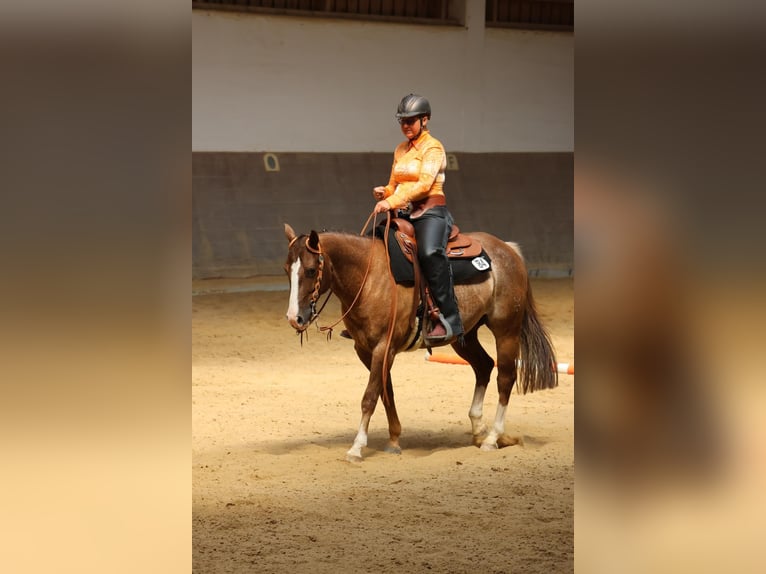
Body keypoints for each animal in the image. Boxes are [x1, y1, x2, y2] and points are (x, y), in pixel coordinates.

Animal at [282, 220, 560, 464]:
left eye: (310, 270)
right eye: (286, 270)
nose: (295, 318)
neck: (369, 275)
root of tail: (508, 250)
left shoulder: (383, 348)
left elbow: (370, 397)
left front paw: (357, 448)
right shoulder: (366, 350)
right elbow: (386, 392)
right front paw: (394, 440)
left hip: (506, 331)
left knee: (505, 377)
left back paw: (492, 438)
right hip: (464, 337)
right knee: (483, 366)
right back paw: (479, 429)